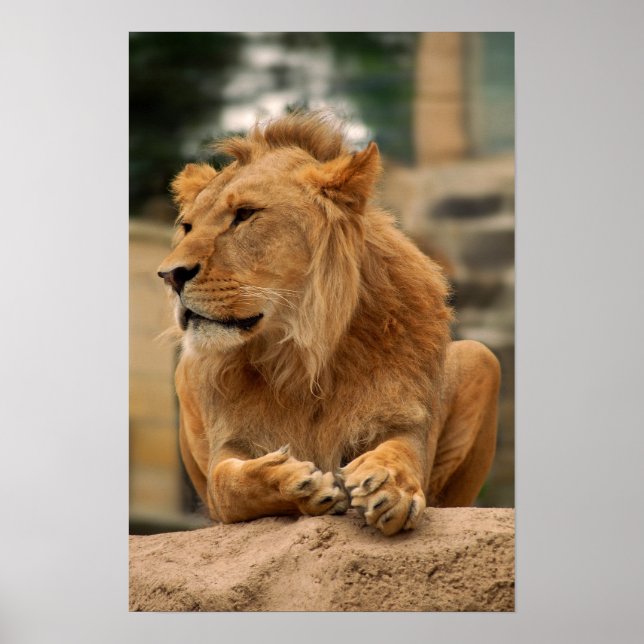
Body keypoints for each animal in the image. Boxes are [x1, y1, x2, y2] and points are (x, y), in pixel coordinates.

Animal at [157, 111, 500, 536]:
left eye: (245, 214)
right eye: (187, 227)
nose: (170, 275)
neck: (302, 357)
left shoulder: (406, 419)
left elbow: (403, 452)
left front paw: (387, 487)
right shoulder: (229, 445)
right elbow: (228, 483)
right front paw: (296, 483)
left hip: (481, 355)